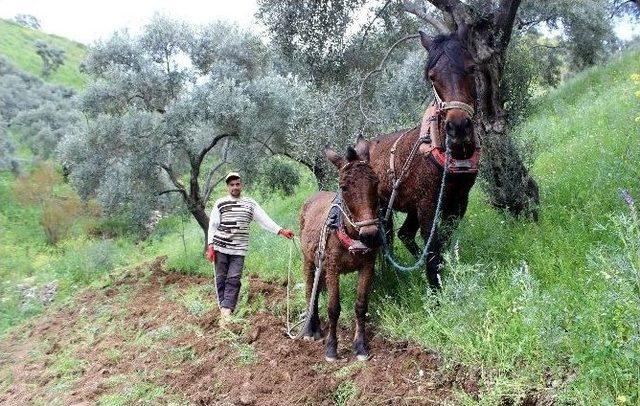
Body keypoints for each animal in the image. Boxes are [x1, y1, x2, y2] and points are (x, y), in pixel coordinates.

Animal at [300, 140, 380, 362]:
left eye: (376, 182)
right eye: (344, 188)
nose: (370, 235)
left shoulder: (367, 266)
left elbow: (361, 306)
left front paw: (360, 346)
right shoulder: (333, 268)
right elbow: (333, 307)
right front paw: (331, 348)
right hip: (309, 261)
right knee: (310, 292)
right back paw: (311, 330)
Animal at [364, 25, 480, 288]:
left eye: (471, 68)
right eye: (432, 77)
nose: (458, 128)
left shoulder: (458, 201)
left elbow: (441, 242)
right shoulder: (428, 205)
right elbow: (433, 247)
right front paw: (437, 291)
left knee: (404, 234)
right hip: (383, 208)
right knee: (388, 237)